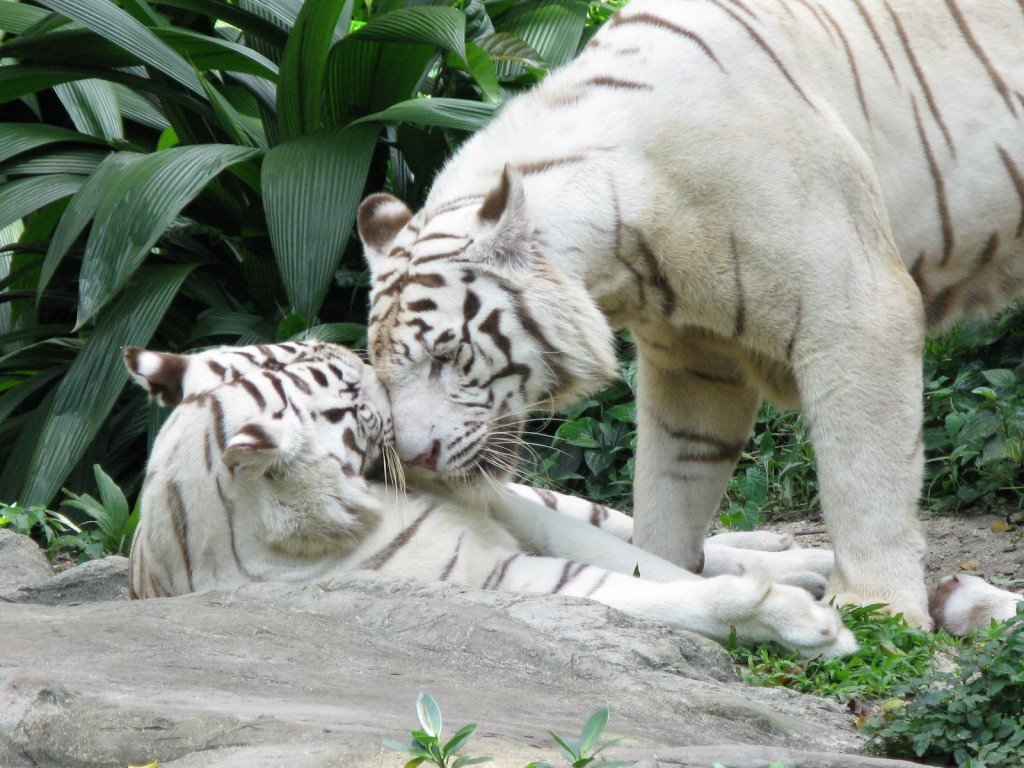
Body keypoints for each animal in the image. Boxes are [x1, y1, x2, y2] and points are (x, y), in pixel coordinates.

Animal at [121, 346, 856, 659]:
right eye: (349, 397)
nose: (383, 373)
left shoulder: (510, 511)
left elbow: (644, 560)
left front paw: (810, 590)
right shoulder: (488, 574)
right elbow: (635, 587)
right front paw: (805, 621)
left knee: (624, 522)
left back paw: (794, 552)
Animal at [354, 0, 1024, 630]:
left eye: (446, 356)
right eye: (384, 373)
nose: (413, 460)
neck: (629, 247)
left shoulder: (854, 310)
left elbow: (865, 474)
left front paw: (876, 608)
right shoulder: (692, 356)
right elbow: (672, 481)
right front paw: (660, 571)